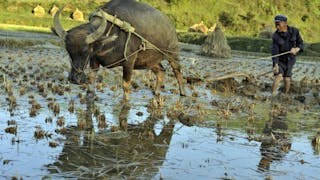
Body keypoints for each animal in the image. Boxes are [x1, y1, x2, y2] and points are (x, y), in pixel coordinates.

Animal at [53, 0, 185, 100]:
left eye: (86, 51)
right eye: (68, 50)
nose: (75, 79)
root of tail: (171, 26)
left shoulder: (129, 62)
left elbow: (126, 86)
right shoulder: (94, 60)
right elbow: (91, 81)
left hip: (173, 53)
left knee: (177, 70)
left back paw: (182, 92)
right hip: (150, 60)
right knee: (161, 71)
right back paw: (156, 92)